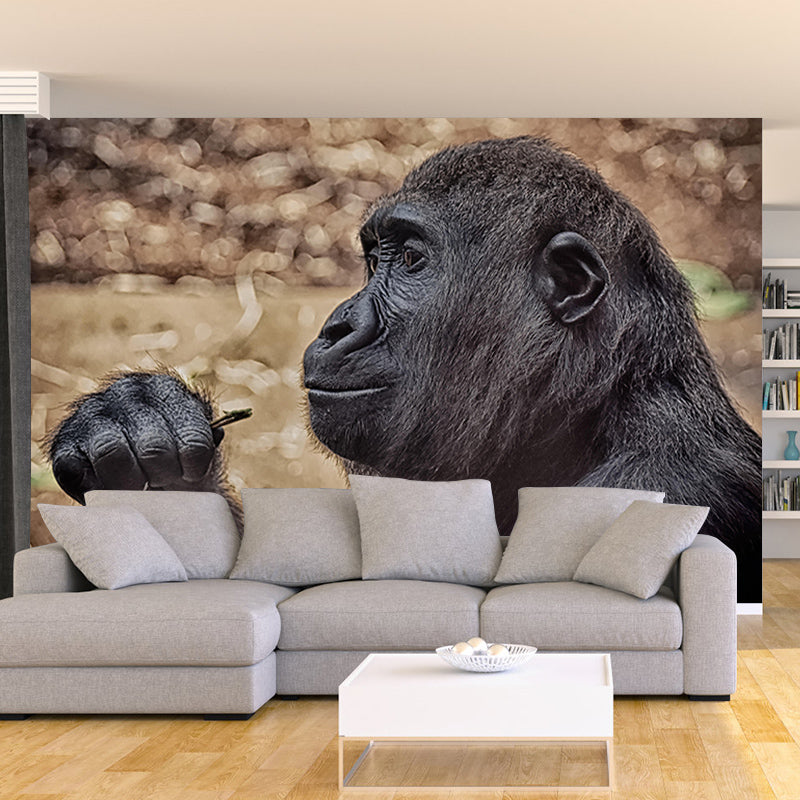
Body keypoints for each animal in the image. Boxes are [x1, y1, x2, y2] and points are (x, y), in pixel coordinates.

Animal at [47, 136, 762, 600]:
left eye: (412, 260)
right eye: (373, 258)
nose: (337, 325)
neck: (588, 411)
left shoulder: (653, 484)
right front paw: (145, 444)